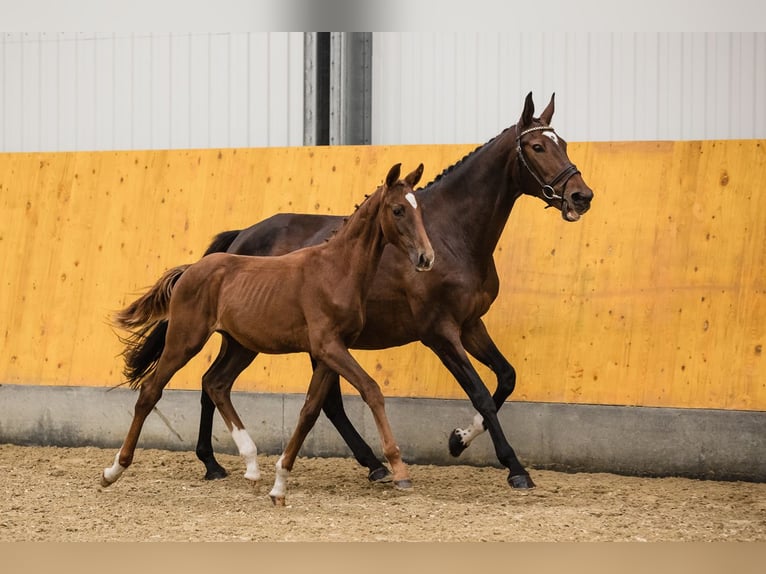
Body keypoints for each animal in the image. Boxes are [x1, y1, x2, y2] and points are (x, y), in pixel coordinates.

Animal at [104, 162, 436, 504]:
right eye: (397, 210)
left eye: (419, 209)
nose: (426, 258)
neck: (336, 270)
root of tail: (190, 270)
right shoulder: (328, 347)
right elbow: (371, 390)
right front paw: (398, 470)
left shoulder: (332, 351)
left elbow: (309, 411)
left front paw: (279, 484)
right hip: (185, 341)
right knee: (151, 391)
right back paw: (113, 471)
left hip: (241, 346)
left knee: (216, 384)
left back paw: (251, 467)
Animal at [156, 90, 592, 490]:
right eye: (537, 146)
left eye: (565, 143)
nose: (581, 196)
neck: (452, 234)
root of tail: (240, 237)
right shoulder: (440, 332)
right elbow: (482, 393)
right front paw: (515, 468)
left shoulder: (470, 325)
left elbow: (506, 378)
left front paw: (458, 440)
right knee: (221, 385)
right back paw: (217, 462)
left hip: (256, 339)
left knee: (233, 386)